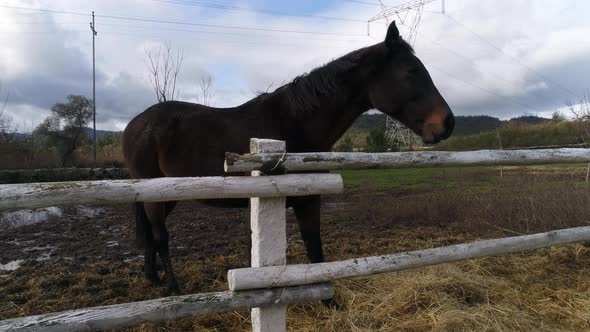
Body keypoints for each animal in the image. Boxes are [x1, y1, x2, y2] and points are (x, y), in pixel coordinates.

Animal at [121, 22, 458, 298]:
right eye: (411, 72)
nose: (448, 123)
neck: (295, 122)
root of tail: (134, 125)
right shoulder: (294, 200)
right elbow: (310, 250)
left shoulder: (306, 199)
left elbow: (312, 250)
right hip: (156, 195)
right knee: (161, 237)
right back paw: (173, 288)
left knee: (150, 234)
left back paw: (153, 278)